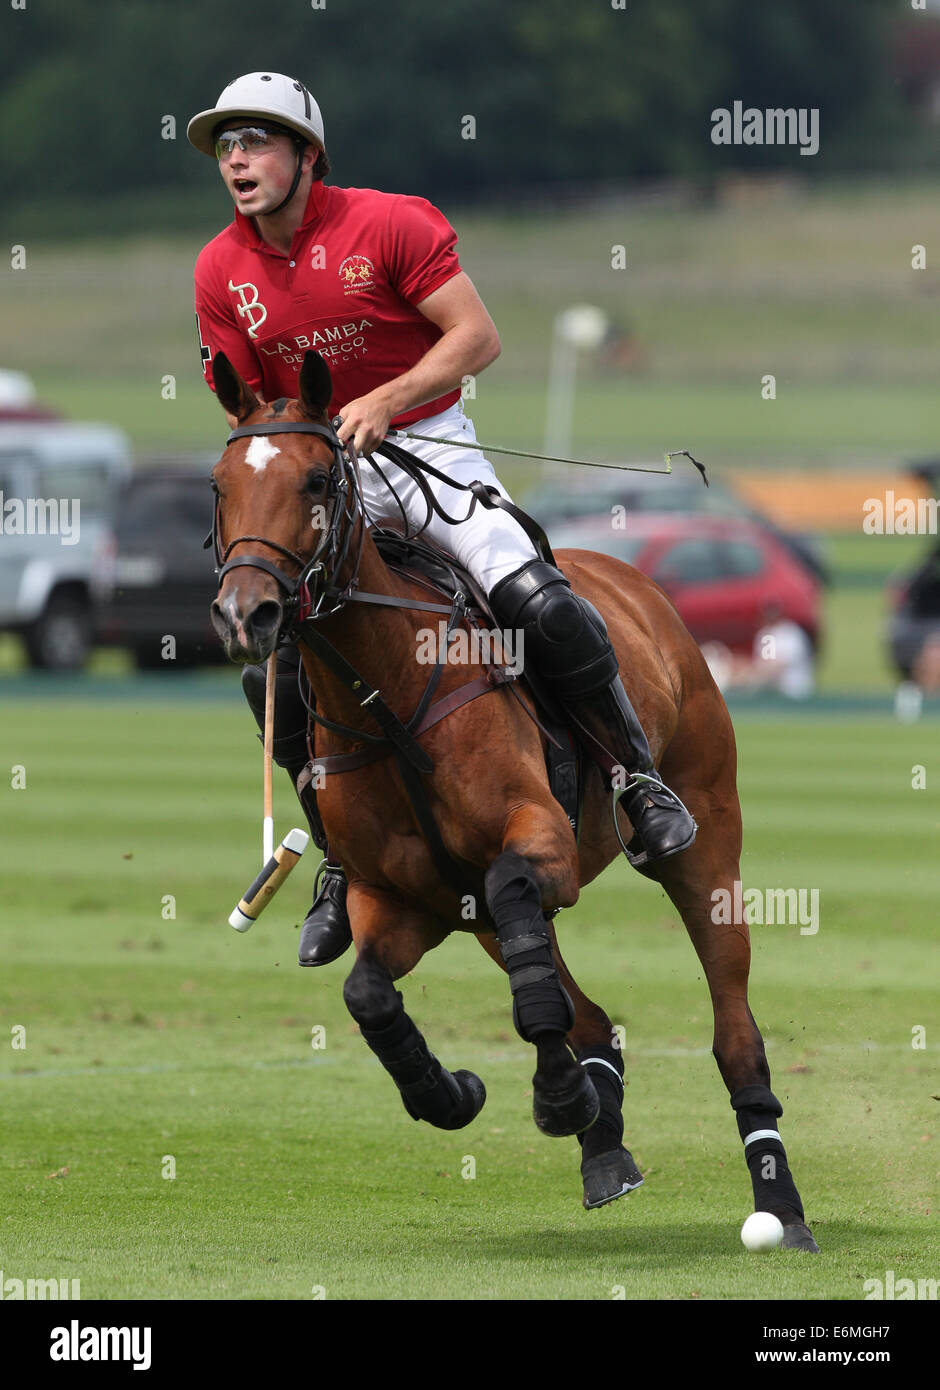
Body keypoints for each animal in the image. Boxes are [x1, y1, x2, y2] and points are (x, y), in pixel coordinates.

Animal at [205, 347, 817, 1251]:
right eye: (217, 484)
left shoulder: (537, 841)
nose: (248, 613)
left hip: (707, 844)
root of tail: (624, 573)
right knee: (580, 1008)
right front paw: (456, 1093)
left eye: (317, 477)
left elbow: (522, 932)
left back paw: (779, 1205)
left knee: (732, 1025)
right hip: (483, 916)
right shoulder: (405, 899)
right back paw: (603, 1141)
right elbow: (368, 993)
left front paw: (558, 1096)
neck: (387, 696)